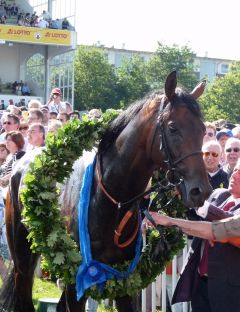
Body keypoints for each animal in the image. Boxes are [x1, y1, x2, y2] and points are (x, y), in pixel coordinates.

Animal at [0, 71, 211, 312]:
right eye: (173, 127)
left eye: (203, 130)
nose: (200, 190)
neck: (111, 201)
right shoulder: (78, 276)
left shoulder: (124, 278)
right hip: (22, 255)